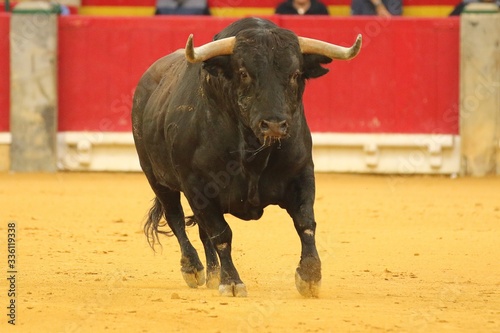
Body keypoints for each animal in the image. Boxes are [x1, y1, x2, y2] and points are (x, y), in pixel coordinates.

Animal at [131, 16, 362, 296]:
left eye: (296, 74)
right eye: (243, 73)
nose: (273, 125)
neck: (253, 153)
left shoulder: (302, 172)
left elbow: (305, 222)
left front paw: (309, 276)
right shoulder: (196, 185)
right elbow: (221, 234)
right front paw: (231, 282)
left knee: (200, 230)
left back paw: (212, 273)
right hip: (156, 177)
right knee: (176, 219)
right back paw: (193, 268)